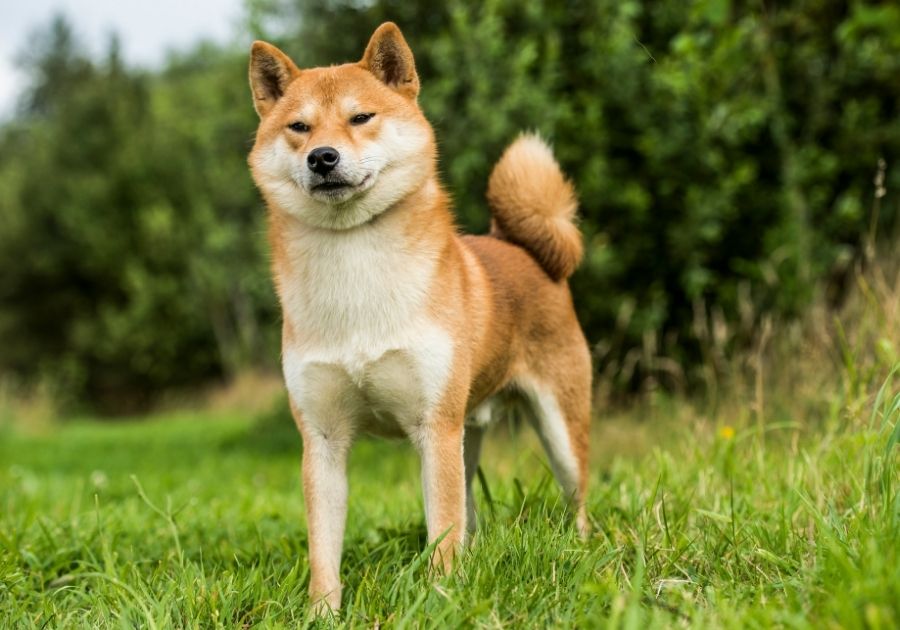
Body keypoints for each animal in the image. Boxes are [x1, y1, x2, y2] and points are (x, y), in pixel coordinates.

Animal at [250, 22, 596, 616]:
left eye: (361, 117)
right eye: (299, 127)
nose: (322, 157)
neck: (355, 266)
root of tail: (522, 250)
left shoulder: (434, 428)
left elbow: (442, 532)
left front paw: (440, 599)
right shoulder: (323, 438)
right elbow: (325, 549)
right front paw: (323, 613)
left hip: (552, 430)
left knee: (576, 500)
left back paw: (581, 550)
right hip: (467, 435)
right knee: (472, 516)